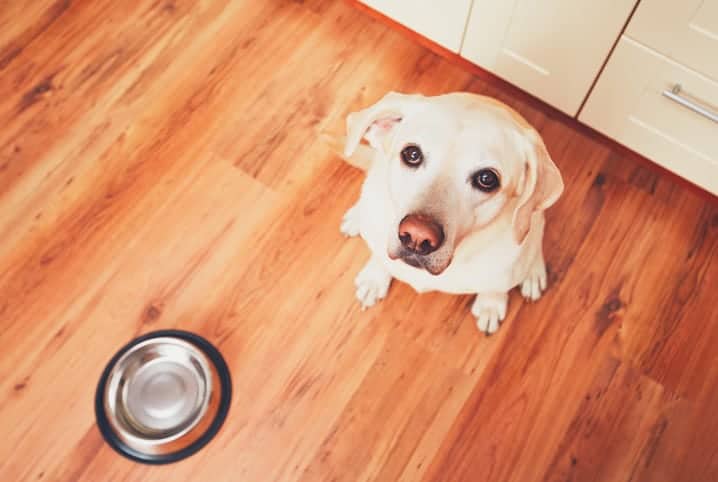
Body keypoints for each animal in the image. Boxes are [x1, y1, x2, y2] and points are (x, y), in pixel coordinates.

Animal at [340, 93, 564, 336]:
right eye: (412, 154)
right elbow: (380, 259)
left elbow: (496, 287)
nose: (417, 236)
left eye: (487, 179)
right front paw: (374, 278)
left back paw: (534, 273)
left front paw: (491, 305)